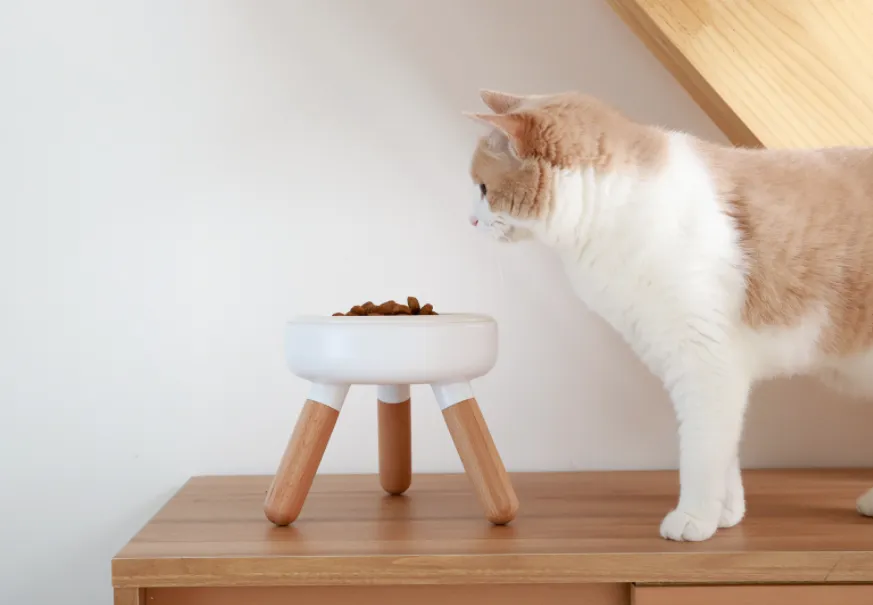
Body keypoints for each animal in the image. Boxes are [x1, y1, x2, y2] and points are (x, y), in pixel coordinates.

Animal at [466, 89, 873, 544]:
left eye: (483, 188)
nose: (471, 219)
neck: (619, 212)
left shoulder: (703, 362)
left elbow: (701, 450)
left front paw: (694, 518)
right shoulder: (701, 365)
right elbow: (724, 452)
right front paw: (725, 513)